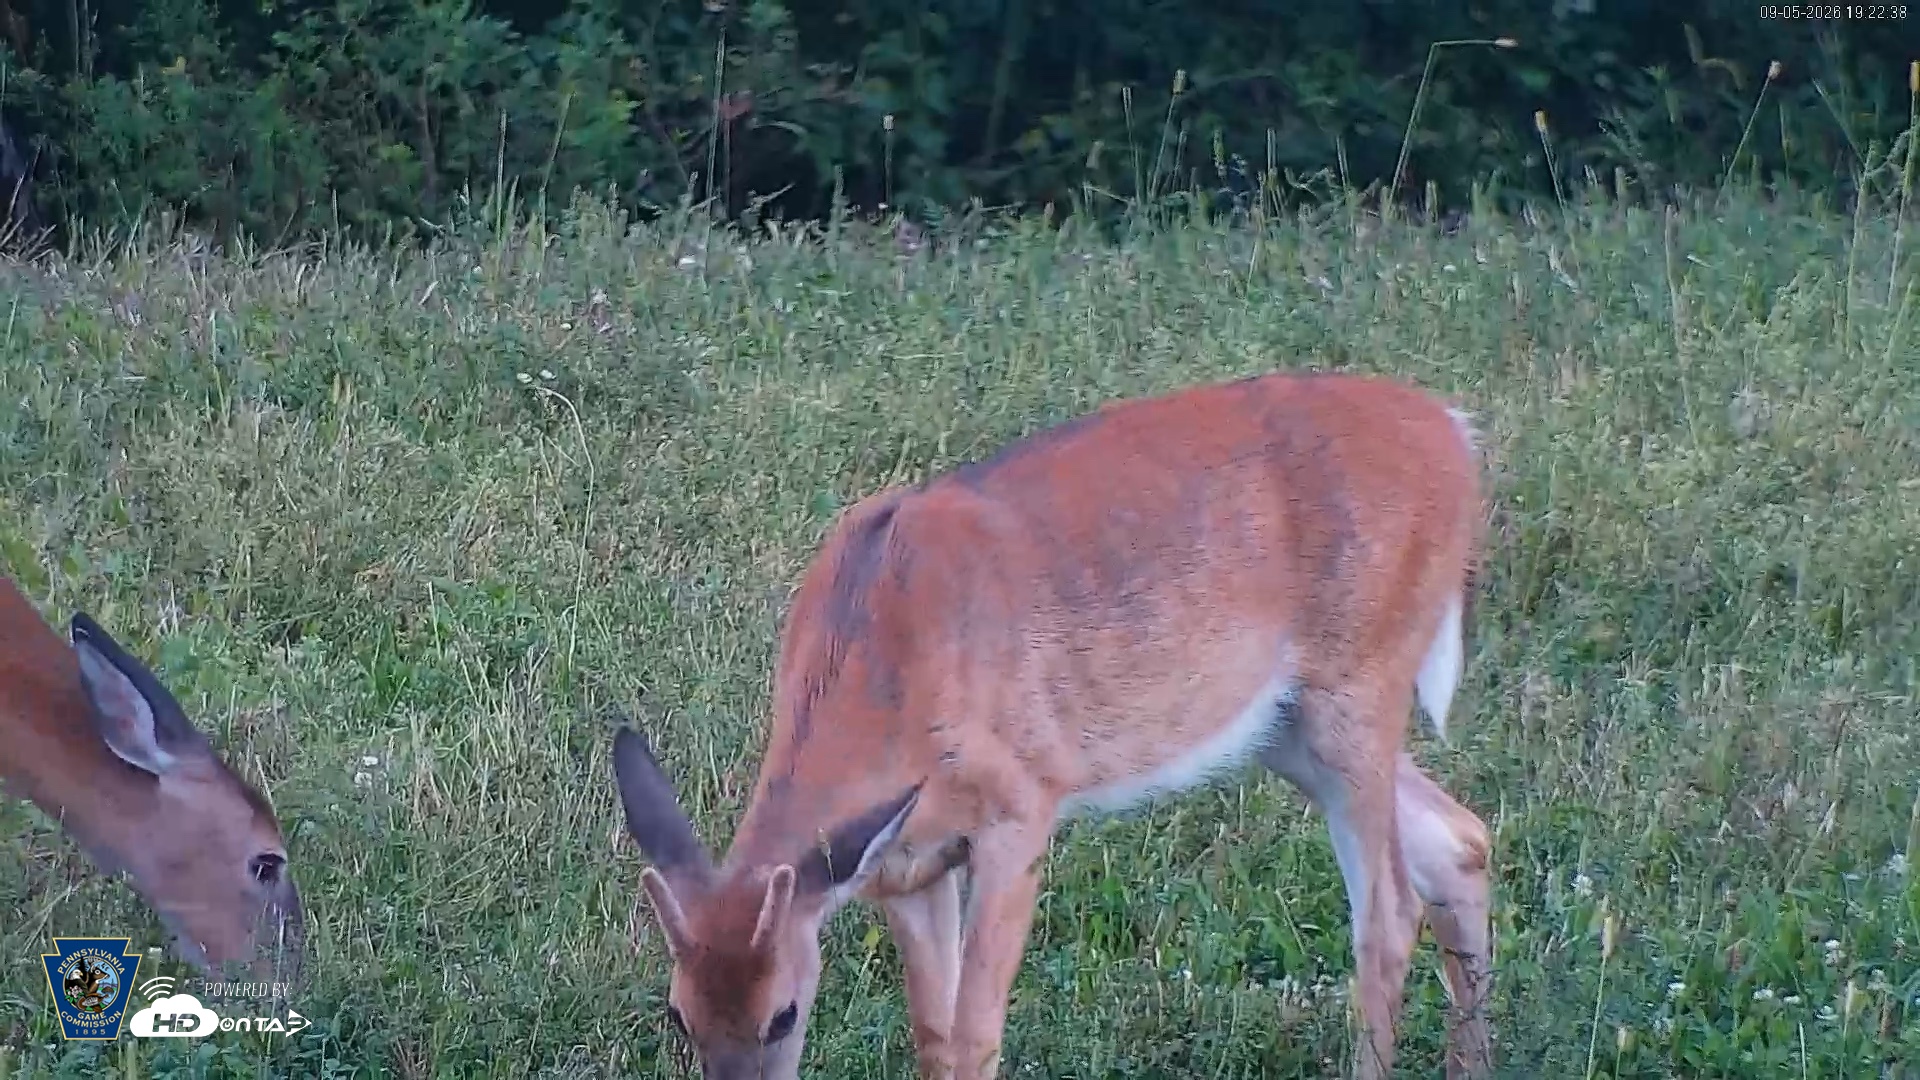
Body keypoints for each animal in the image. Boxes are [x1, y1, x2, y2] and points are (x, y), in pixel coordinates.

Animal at [612, 371, 1495, 1080]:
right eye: (678, 1012)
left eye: (785, 1013)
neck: (885, 665)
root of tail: (1457, 434)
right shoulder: (905, 863)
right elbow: (934, 1037)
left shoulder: (1021, 804)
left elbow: (975, 1037)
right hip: (1289, 726)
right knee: (1461, 841)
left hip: (1361, 682)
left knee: (1389, 915)